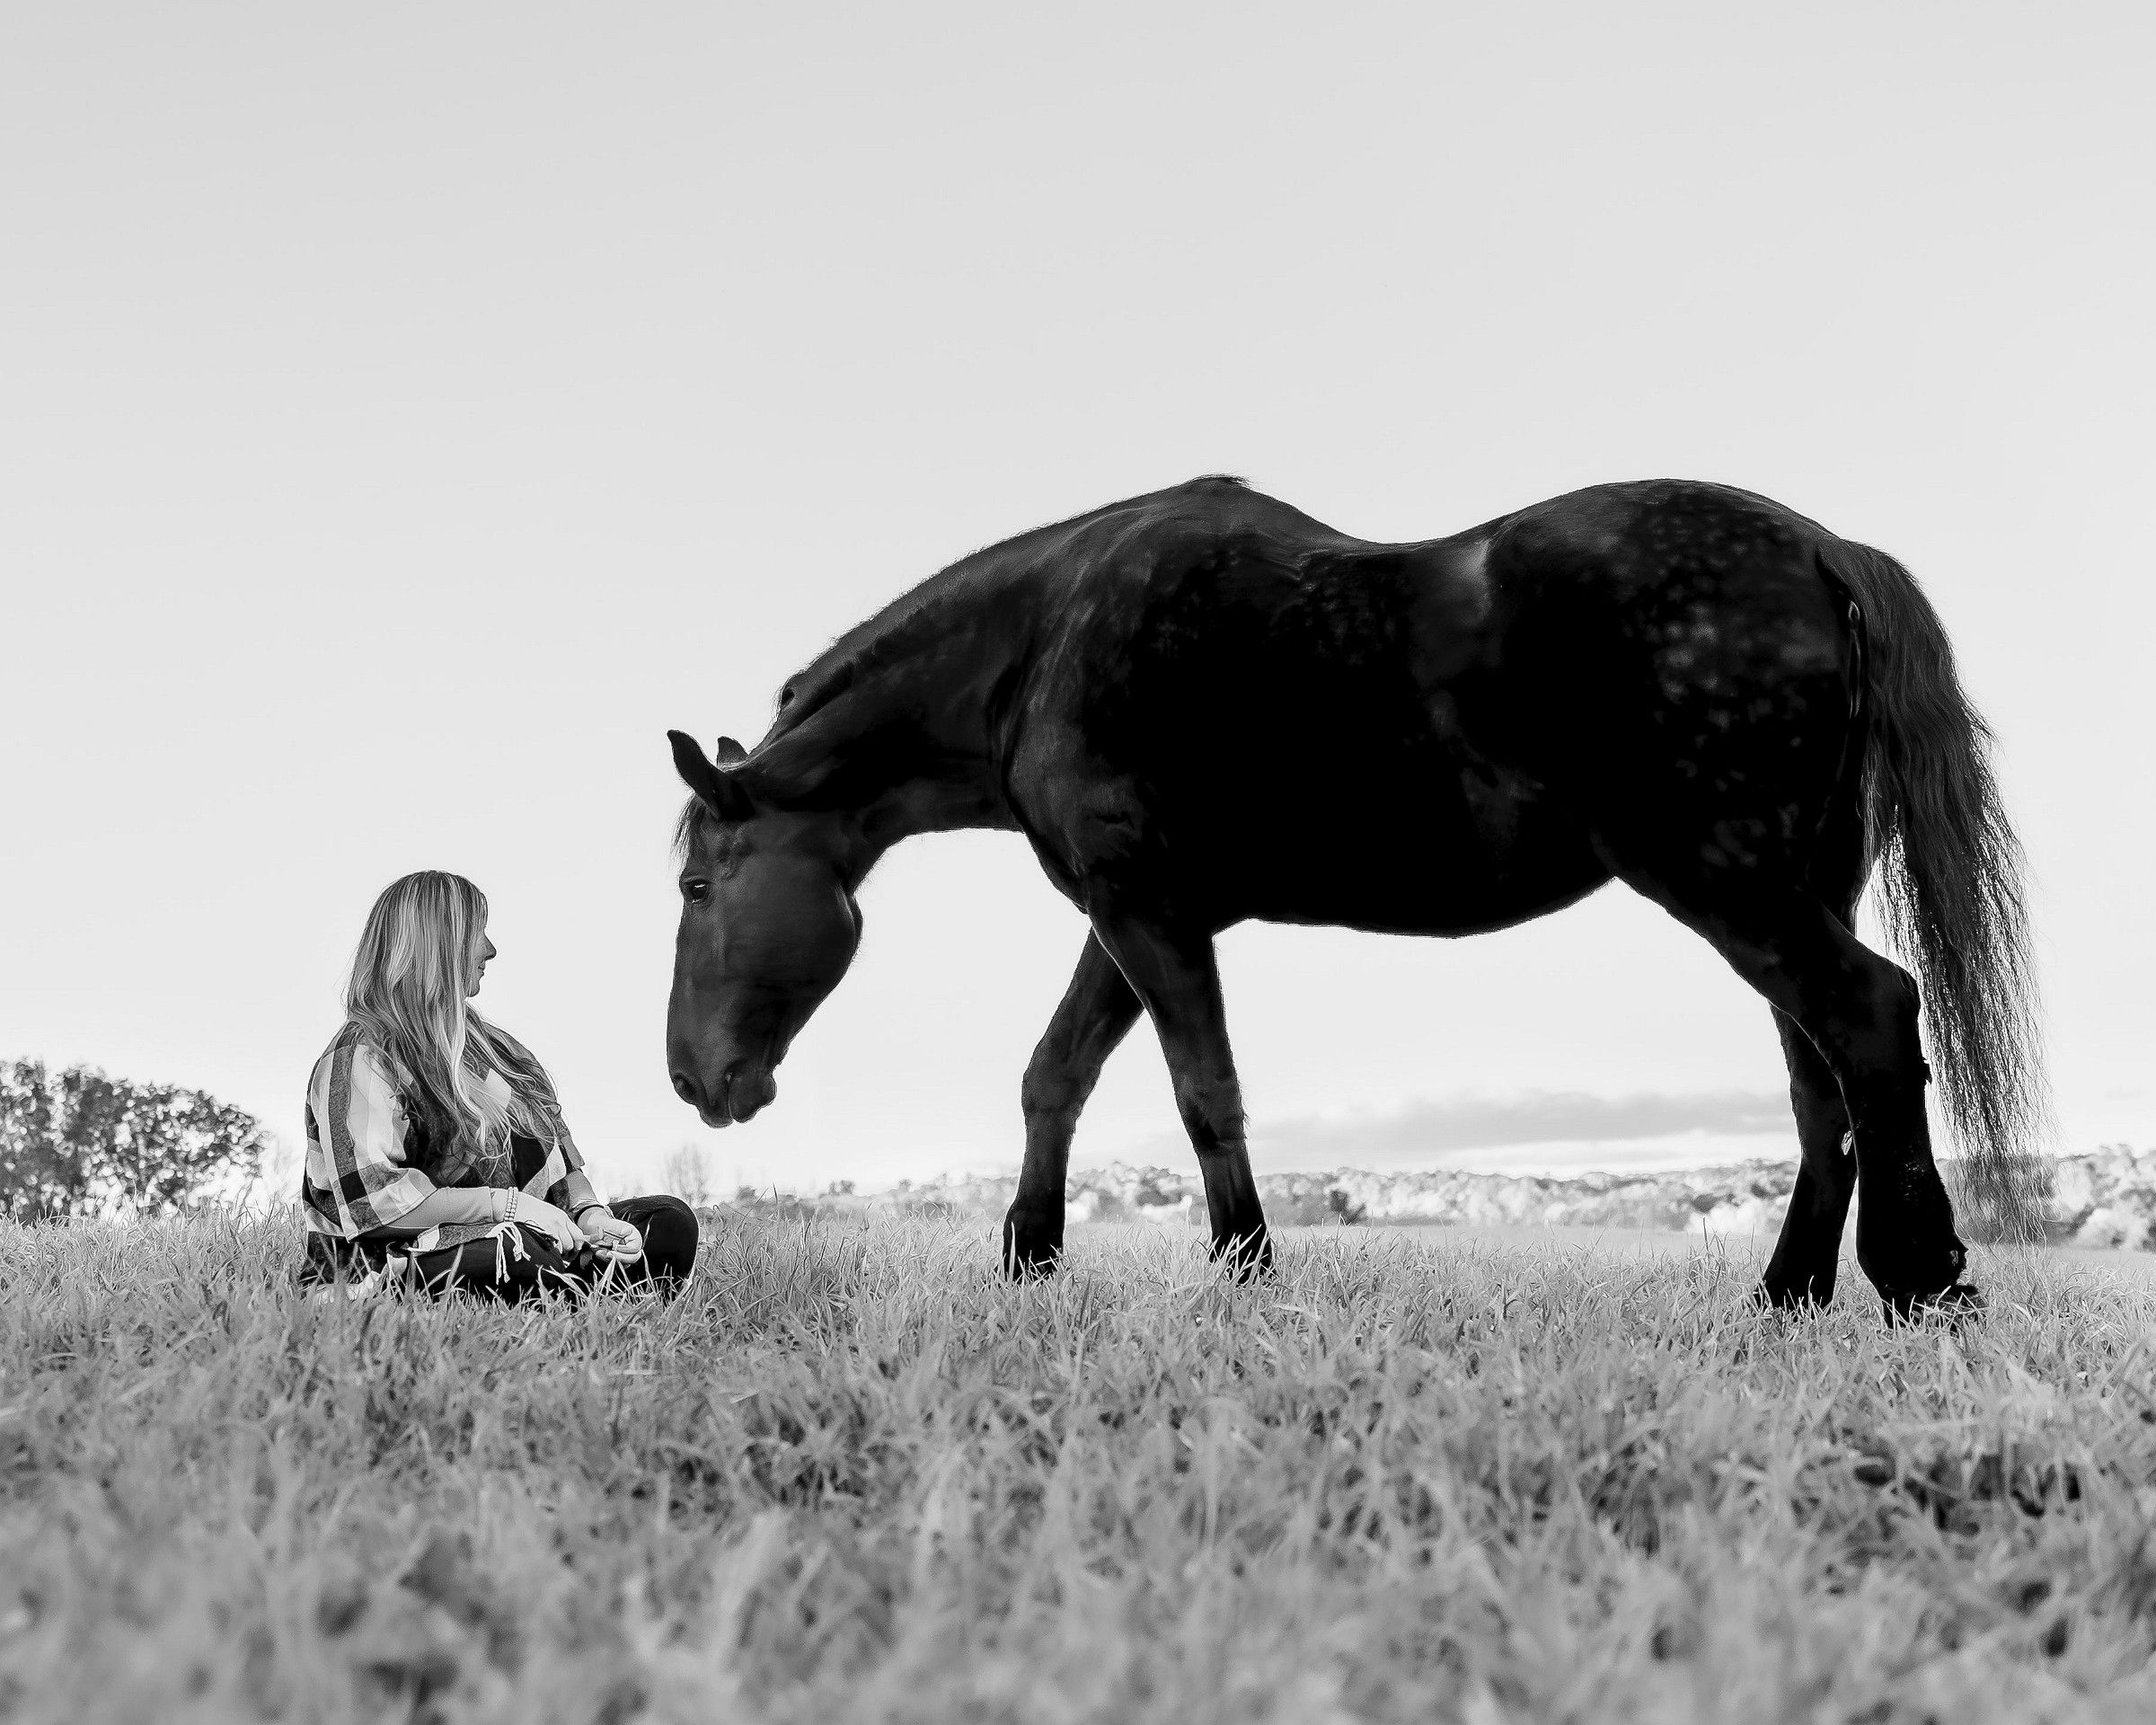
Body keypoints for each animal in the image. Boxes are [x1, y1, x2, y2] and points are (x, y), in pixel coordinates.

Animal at [665, 476, 2047, 1315]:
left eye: (692, 880)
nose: (696, 1079)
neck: (1045, 640)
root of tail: (1820, 548)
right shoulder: (1132, 915)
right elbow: (1056, 1076)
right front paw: (1030, 1260)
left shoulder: (1146, 910)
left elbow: (1202, 1093)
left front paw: (1244, 1270)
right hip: (1789, 888)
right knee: (1823, 1085)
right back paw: (1787, 1296)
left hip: (1731, 883)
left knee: (1871, 1022)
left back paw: (1920, 1276)